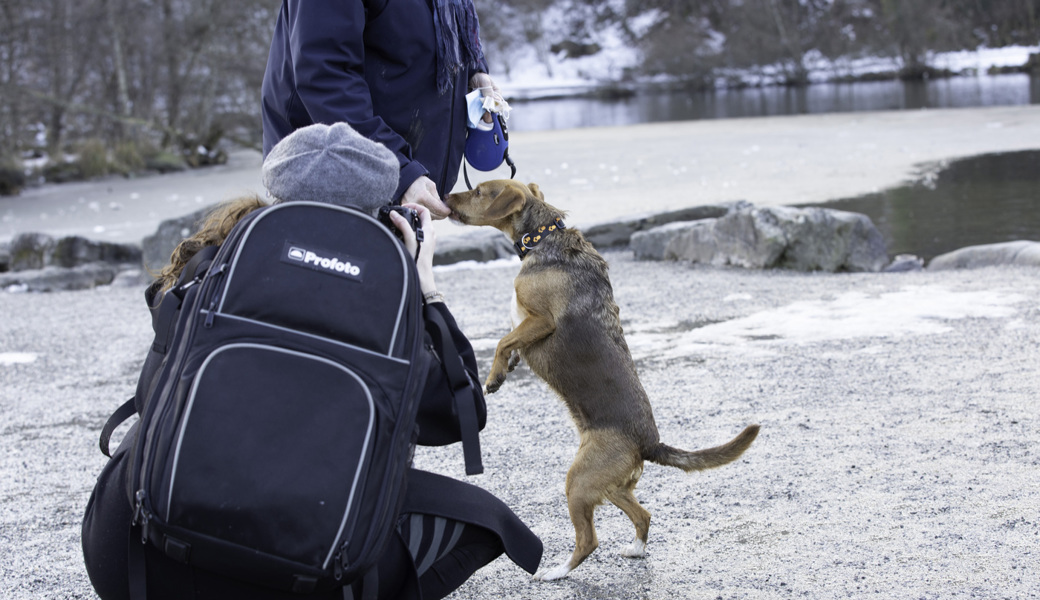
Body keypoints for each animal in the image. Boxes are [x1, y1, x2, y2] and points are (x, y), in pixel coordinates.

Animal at [443, 178, 761, 582]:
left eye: (479, 191)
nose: (445, 195)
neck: (544, 236)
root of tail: (649, 443)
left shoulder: (541, 321)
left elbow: (504, 340)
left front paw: (495, 374)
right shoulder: (525, 326)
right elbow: (510, 340)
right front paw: (506, 368)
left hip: (578, 483)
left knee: (589, 541)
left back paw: (557, 572)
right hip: (610, 486)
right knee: (643, 515)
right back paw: (636, 550)